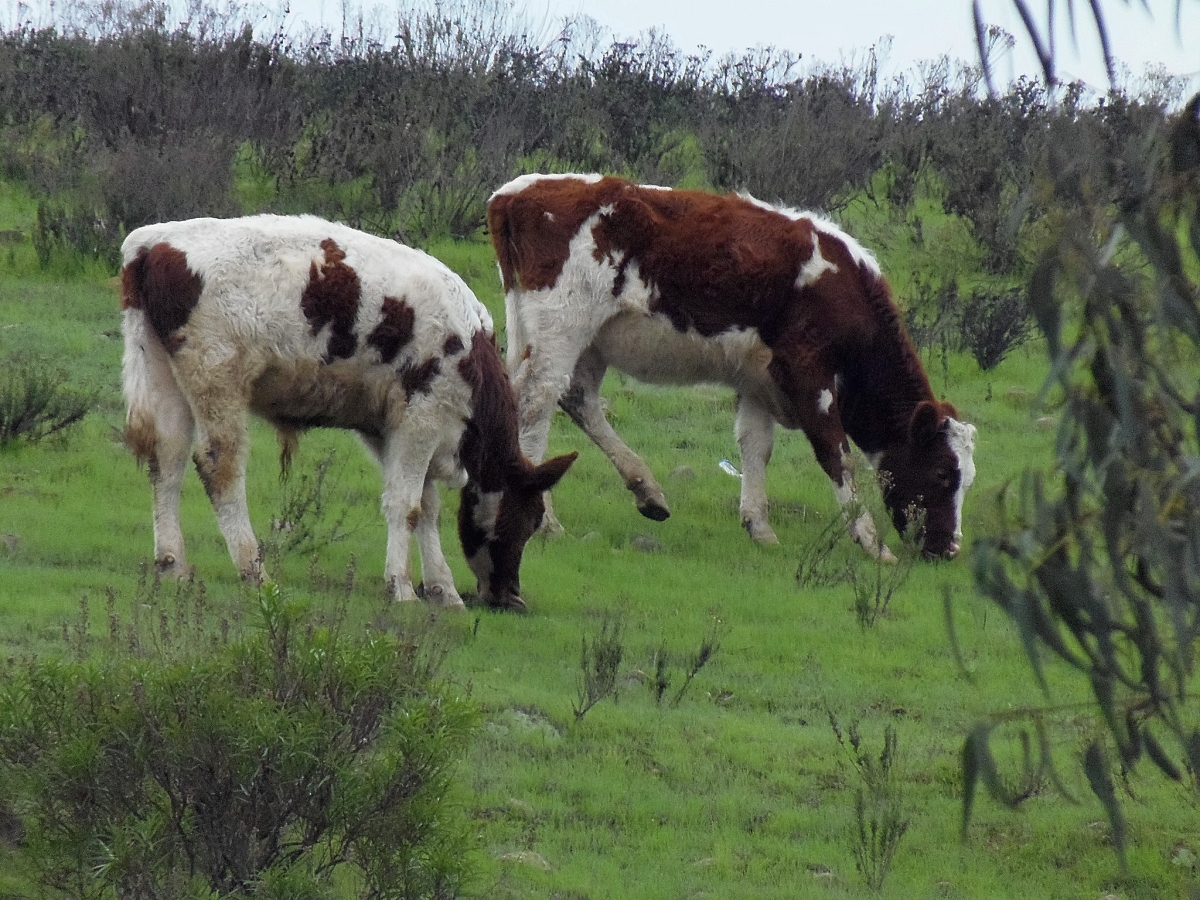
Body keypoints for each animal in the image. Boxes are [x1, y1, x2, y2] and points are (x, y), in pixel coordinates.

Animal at [120, 214, 576, 614]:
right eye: (527, 520)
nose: (512, 597)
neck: (469, 343)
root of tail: (153, 244)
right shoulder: (423, 417)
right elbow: (407, 504)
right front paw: (403, 587)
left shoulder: (388, 427)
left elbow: (426, 506)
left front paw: (443, 589)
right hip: (218, 379)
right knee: (220, 468)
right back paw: (254, 570)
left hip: (165, 376)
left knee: (168, 461)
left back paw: (172, 565)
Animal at [487, 172, 974, 561]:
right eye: (943, 473)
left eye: (968, 479)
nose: (949, 549)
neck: (844, 290)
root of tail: (515, 192)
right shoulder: (808, 374)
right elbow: (836, 454)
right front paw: (871, 541)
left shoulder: (758, 380)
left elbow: (756, 446)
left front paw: (760, 528)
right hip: (562, 329)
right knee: (538, 401)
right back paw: (548, 522)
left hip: (582, 340)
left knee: (576, 399)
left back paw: (647, 490)